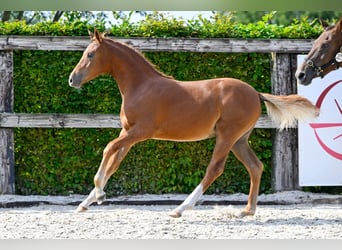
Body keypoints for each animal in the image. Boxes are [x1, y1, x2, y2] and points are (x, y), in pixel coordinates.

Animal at [69, 28, 318, 217]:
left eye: (90, 55)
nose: (72, 79)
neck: (141, 87)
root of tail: (255, 93)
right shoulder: (127, 132)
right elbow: (114, 161)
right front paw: (88, 201)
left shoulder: (141, 131)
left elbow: (108, 148)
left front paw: (99, 193)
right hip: (239, 140)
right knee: (255, 167)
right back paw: (247, 210)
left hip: (227, 135)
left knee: (214, 169)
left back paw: (180, 208)